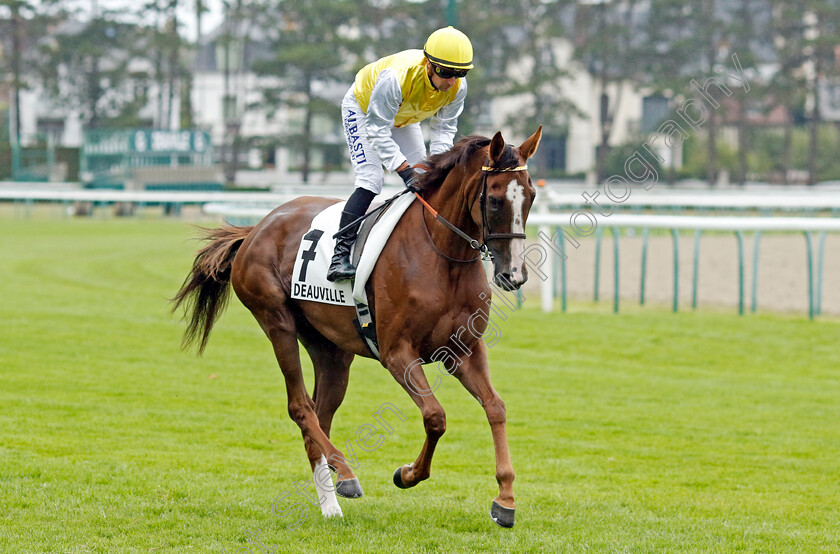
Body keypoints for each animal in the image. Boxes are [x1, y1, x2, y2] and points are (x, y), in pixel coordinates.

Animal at [171, 126, 544, 528]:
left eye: (531, 196)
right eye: (496, 201)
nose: (514, 275)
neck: (441, 255)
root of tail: (257, 227)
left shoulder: (464, 351)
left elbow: (495, 407)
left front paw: (505, 499)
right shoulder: (398, 353)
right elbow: (435, 417)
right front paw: (407, 474)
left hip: (330, 350)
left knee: (319, 414)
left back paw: (329, 503)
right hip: (276, 320)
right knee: (300, 407)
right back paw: (346, 474)